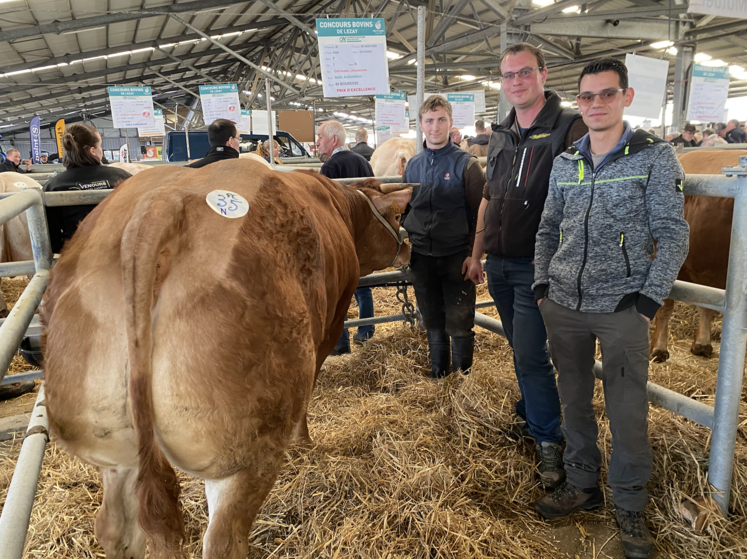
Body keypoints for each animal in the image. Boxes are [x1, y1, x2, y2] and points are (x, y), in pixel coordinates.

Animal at [43, 159, 412, 559]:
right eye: (396, 213)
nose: (409, 248)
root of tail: (158, 207)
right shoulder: (329, 327)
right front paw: (303, 444)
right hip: (244, 452)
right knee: (223, 539)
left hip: (111, 446)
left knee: (114, 527)